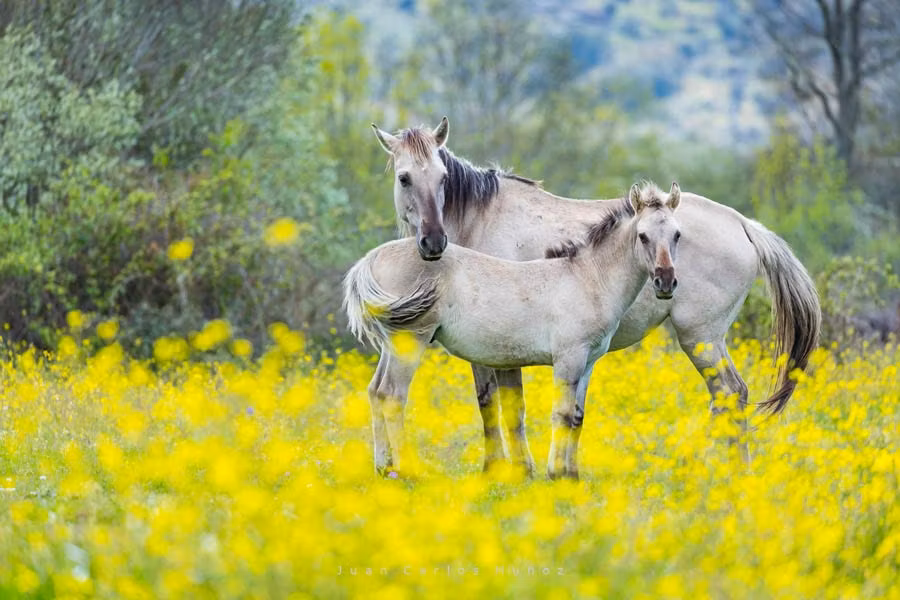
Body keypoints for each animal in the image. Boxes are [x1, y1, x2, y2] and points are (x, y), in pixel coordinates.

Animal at [345, 182, 683, 479]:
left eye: (677, 234)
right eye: (642, 236)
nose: (665, 282)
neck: (587, 278)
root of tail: (371, 258)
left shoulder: (587, 362)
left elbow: (576, 416)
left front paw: (572, 476)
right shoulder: (568, 359)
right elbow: (560, 414)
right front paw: (555, 474)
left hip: (391, 345)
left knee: (375, 391)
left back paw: (383, 468)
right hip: (410, 341)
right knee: (392, 395)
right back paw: (408, 471)